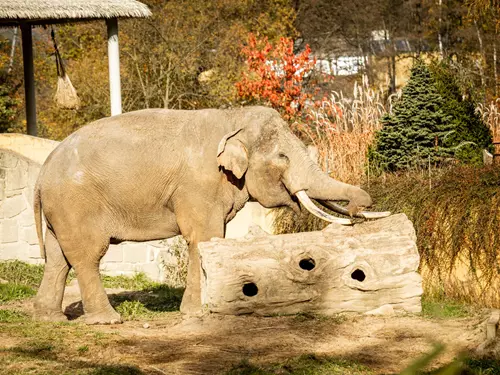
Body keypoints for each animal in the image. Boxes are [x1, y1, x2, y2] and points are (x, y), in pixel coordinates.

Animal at [32, 106, 390, 324]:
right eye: (283, 157)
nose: (359, 210)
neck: (233, 118)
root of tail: (42, 171)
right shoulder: (197, 186)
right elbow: (205, 237)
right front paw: (198, 314)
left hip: (61, 210)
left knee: (58, 258)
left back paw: (49, 318)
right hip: (77, 205)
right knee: (86, 256)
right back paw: (108, 320)